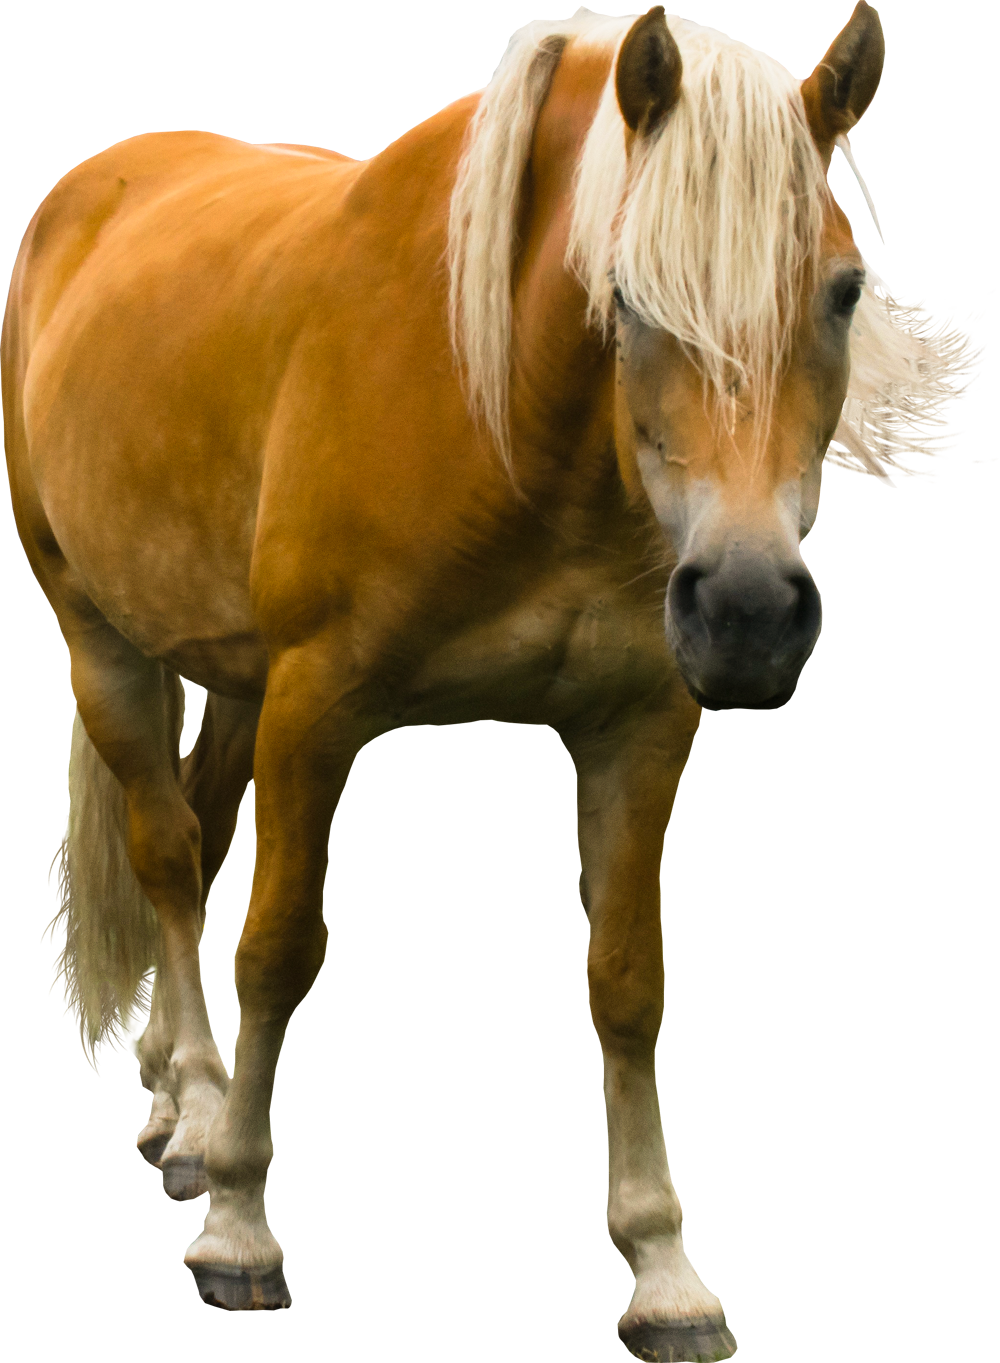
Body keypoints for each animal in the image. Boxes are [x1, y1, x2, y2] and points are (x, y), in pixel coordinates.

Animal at [4, 3, 890, 1350]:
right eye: (626, 293)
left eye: (842, 290)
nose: (743, 604)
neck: (505, 410)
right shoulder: (317, 701)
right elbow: (277, 946)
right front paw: (243, 1227)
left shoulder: (635, 727)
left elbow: (628, 982)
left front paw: (666, 1272)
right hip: (97, 631)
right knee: (164, 856)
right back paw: (201, 1111)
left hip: (230, 679)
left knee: (191, 849)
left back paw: (172, 1096)